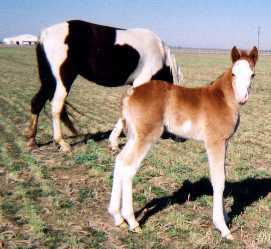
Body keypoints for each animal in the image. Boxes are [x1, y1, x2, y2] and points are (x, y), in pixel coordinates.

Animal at [26, 20, 183, 152]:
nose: (180, 138)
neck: (161, 54)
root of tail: (45, 34)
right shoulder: (141, 83)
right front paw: (114, 143)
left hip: (48, 81)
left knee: (37, 102)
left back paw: (32, 142)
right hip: (62, 80)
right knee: (56, 106)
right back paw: (62, 143)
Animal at [109, 46, 260, 239]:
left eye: (252, 74)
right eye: (234, 74)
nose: (242, 98)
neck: (222, 99)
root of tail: (131, 93)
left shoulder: (225, 143)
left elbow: (222, 177)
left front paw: (225, 217)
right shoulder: (215, 142)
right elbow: (218, 180)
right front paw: (223, 228)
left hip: (134, 137)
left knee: (120, 161)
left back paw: (117, 217)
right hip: (146, 137)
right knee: (129, 167)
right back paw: (132, 222)